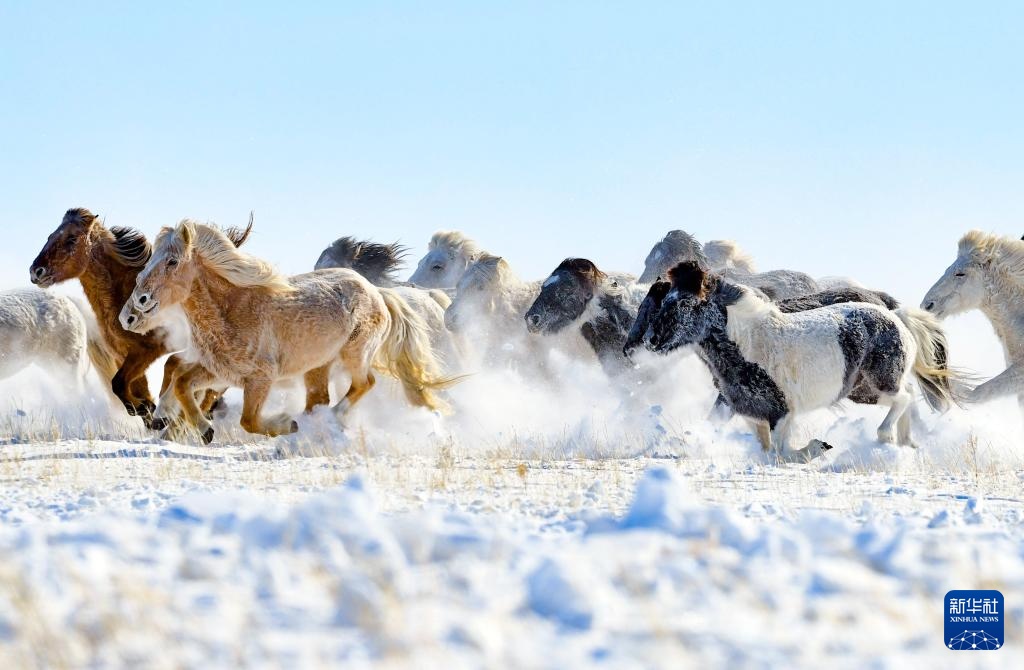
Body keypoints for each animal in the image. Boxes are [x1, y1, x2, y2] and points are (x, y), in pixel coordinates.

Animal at [30, 208, 250, 428]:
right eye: (50, 236)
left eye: (71, 239)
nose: (35, 271)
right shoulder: (122, 356)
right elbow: (129, 390)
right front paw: (148, 411)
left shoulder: (145, 352)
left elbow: (119, 384)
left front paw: (151, 412)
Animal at [119, 220, 451, 442]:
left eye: (172, 261)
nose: (136, 305)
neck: (232, 311)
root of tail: (377, 292)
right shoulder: (220, 372)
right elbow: (182, 383)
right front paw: (202, 429)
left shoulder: (259, 379)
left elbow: (249, 421)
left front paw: (284, 424)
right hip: (318, 368)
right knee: (323, 398)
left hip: (355, 354)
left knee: (364, 383)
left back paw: (327, 420)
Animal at [630, 261, 955, 454]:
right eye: (664, 300)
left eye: (683, 303)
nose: (650, 340)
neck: (749, 344)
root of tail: (895, 316)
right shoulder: (746, 410)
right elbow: (764, 450)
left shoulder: (782, 413)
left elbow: (782, 453)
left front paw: (818, 447)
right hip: (863, 391)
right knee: (907, 397)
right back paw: (906, 443)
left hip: (880, 381)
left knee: (904, 397)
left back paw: (887, 438)